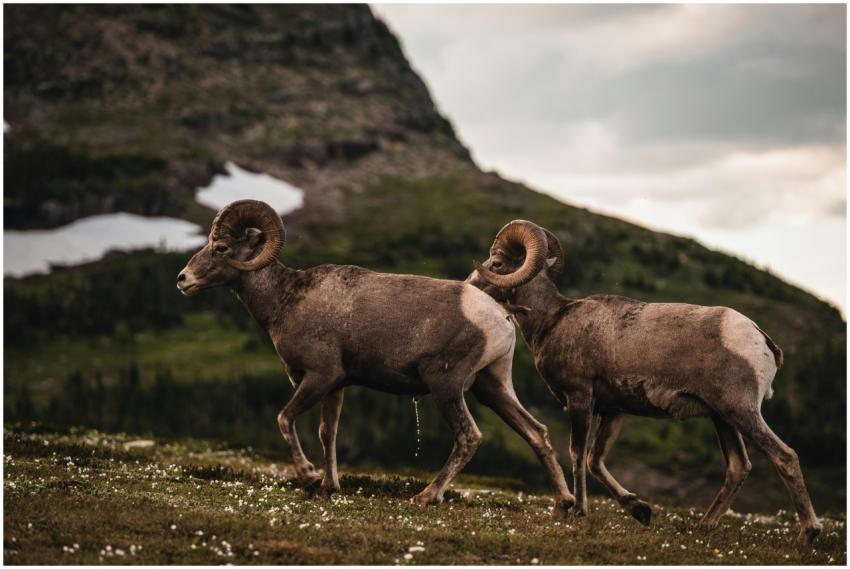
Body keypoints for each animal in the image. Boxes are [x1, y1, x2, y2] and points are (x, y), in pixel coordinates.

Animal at [176, 200, 574, 513]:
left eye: (221, 248)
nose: (183, 279)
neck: (286, 300)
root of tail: (498, 315)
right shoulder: (335, 386)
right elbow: (328, 432)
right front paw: (328, 488)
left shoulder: (318, 376)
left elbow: (284, 418)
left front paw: (309, 478)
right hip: (492, 387)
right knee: (536, 433)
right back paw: (564, 503)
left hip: (446, 386)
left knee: (469, 436)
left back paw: (425, 497)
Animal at [467, 219, 822, 545]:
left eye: (496, 264)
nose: (468, 286)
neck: (552, 319)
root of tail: (761, 340)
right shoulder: (613, 411)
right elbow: (595, 461)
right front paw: (640, 509)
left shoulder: (580, 399)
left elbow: (578, 455)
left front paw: (579, 513)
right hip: (722, 418)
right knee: (738, 467)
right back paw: (703, 526)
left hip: (741, 411)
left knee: (784, 456)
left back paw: (808, 533)